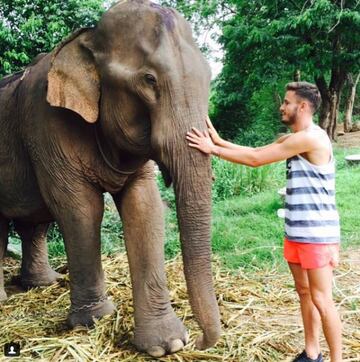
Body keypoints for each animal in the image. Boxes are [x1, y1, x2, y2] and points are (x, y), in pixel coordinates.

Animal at [0, 0, 221, 356]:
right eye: (149, 80)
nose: (200, 341)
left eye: (209, 76)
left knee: (34, 225)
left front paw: (167, 345)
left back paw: (44, 283)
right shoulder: (46, 125)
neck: (85, 40)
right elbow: (80, 209)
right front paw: (95, 319)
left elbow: (145, 207)